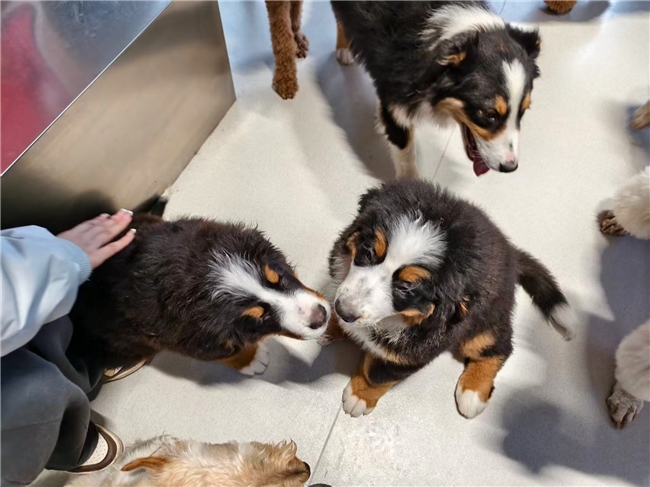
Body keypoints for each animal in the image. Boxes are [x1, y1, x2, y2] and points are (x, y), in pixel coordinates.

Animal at [70, 211, 330, 375]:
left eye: (278, 277)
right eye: (259, 316)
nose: (321, 317)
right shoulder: (188, 340)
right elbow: (224, 353)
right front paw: (251, 359)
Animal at [324, 180, 574, 418]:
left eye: (405, 287)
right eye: (367, 252)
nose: (345, 311)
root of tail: (511, 253)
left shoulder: (413, 353)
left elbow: (377, 375)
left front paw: (359, 396)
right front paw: (329, 324)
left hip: (484, 323)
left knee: (499, 346)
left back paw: (473, 392)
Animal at [331, 1, 542, 179]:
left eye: (523, 111)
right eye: (489, 114)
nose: (510, 168)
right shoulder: (397, 98)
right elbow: (405, 151)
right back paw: (344, 48)